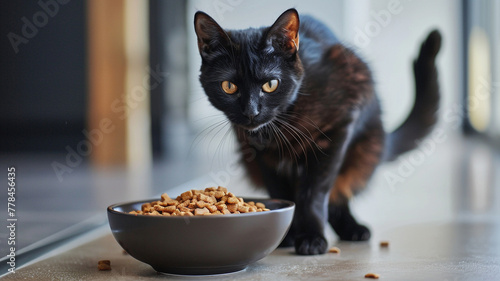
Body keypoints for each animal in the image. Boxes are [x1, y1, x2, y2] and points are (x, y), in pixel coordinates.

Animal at [193, 8, 440, 254]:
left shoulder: (337, 130)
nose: (251, 112)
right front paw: (287, 233)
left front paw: (311, 237)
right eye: (229, 87)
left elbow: (314, 194)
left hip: (362, 153)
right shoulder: (261, 154)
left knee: (338, 193)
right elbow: (281, 192)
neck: (282, 124)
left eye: (271, 85)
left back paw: (353, 229)